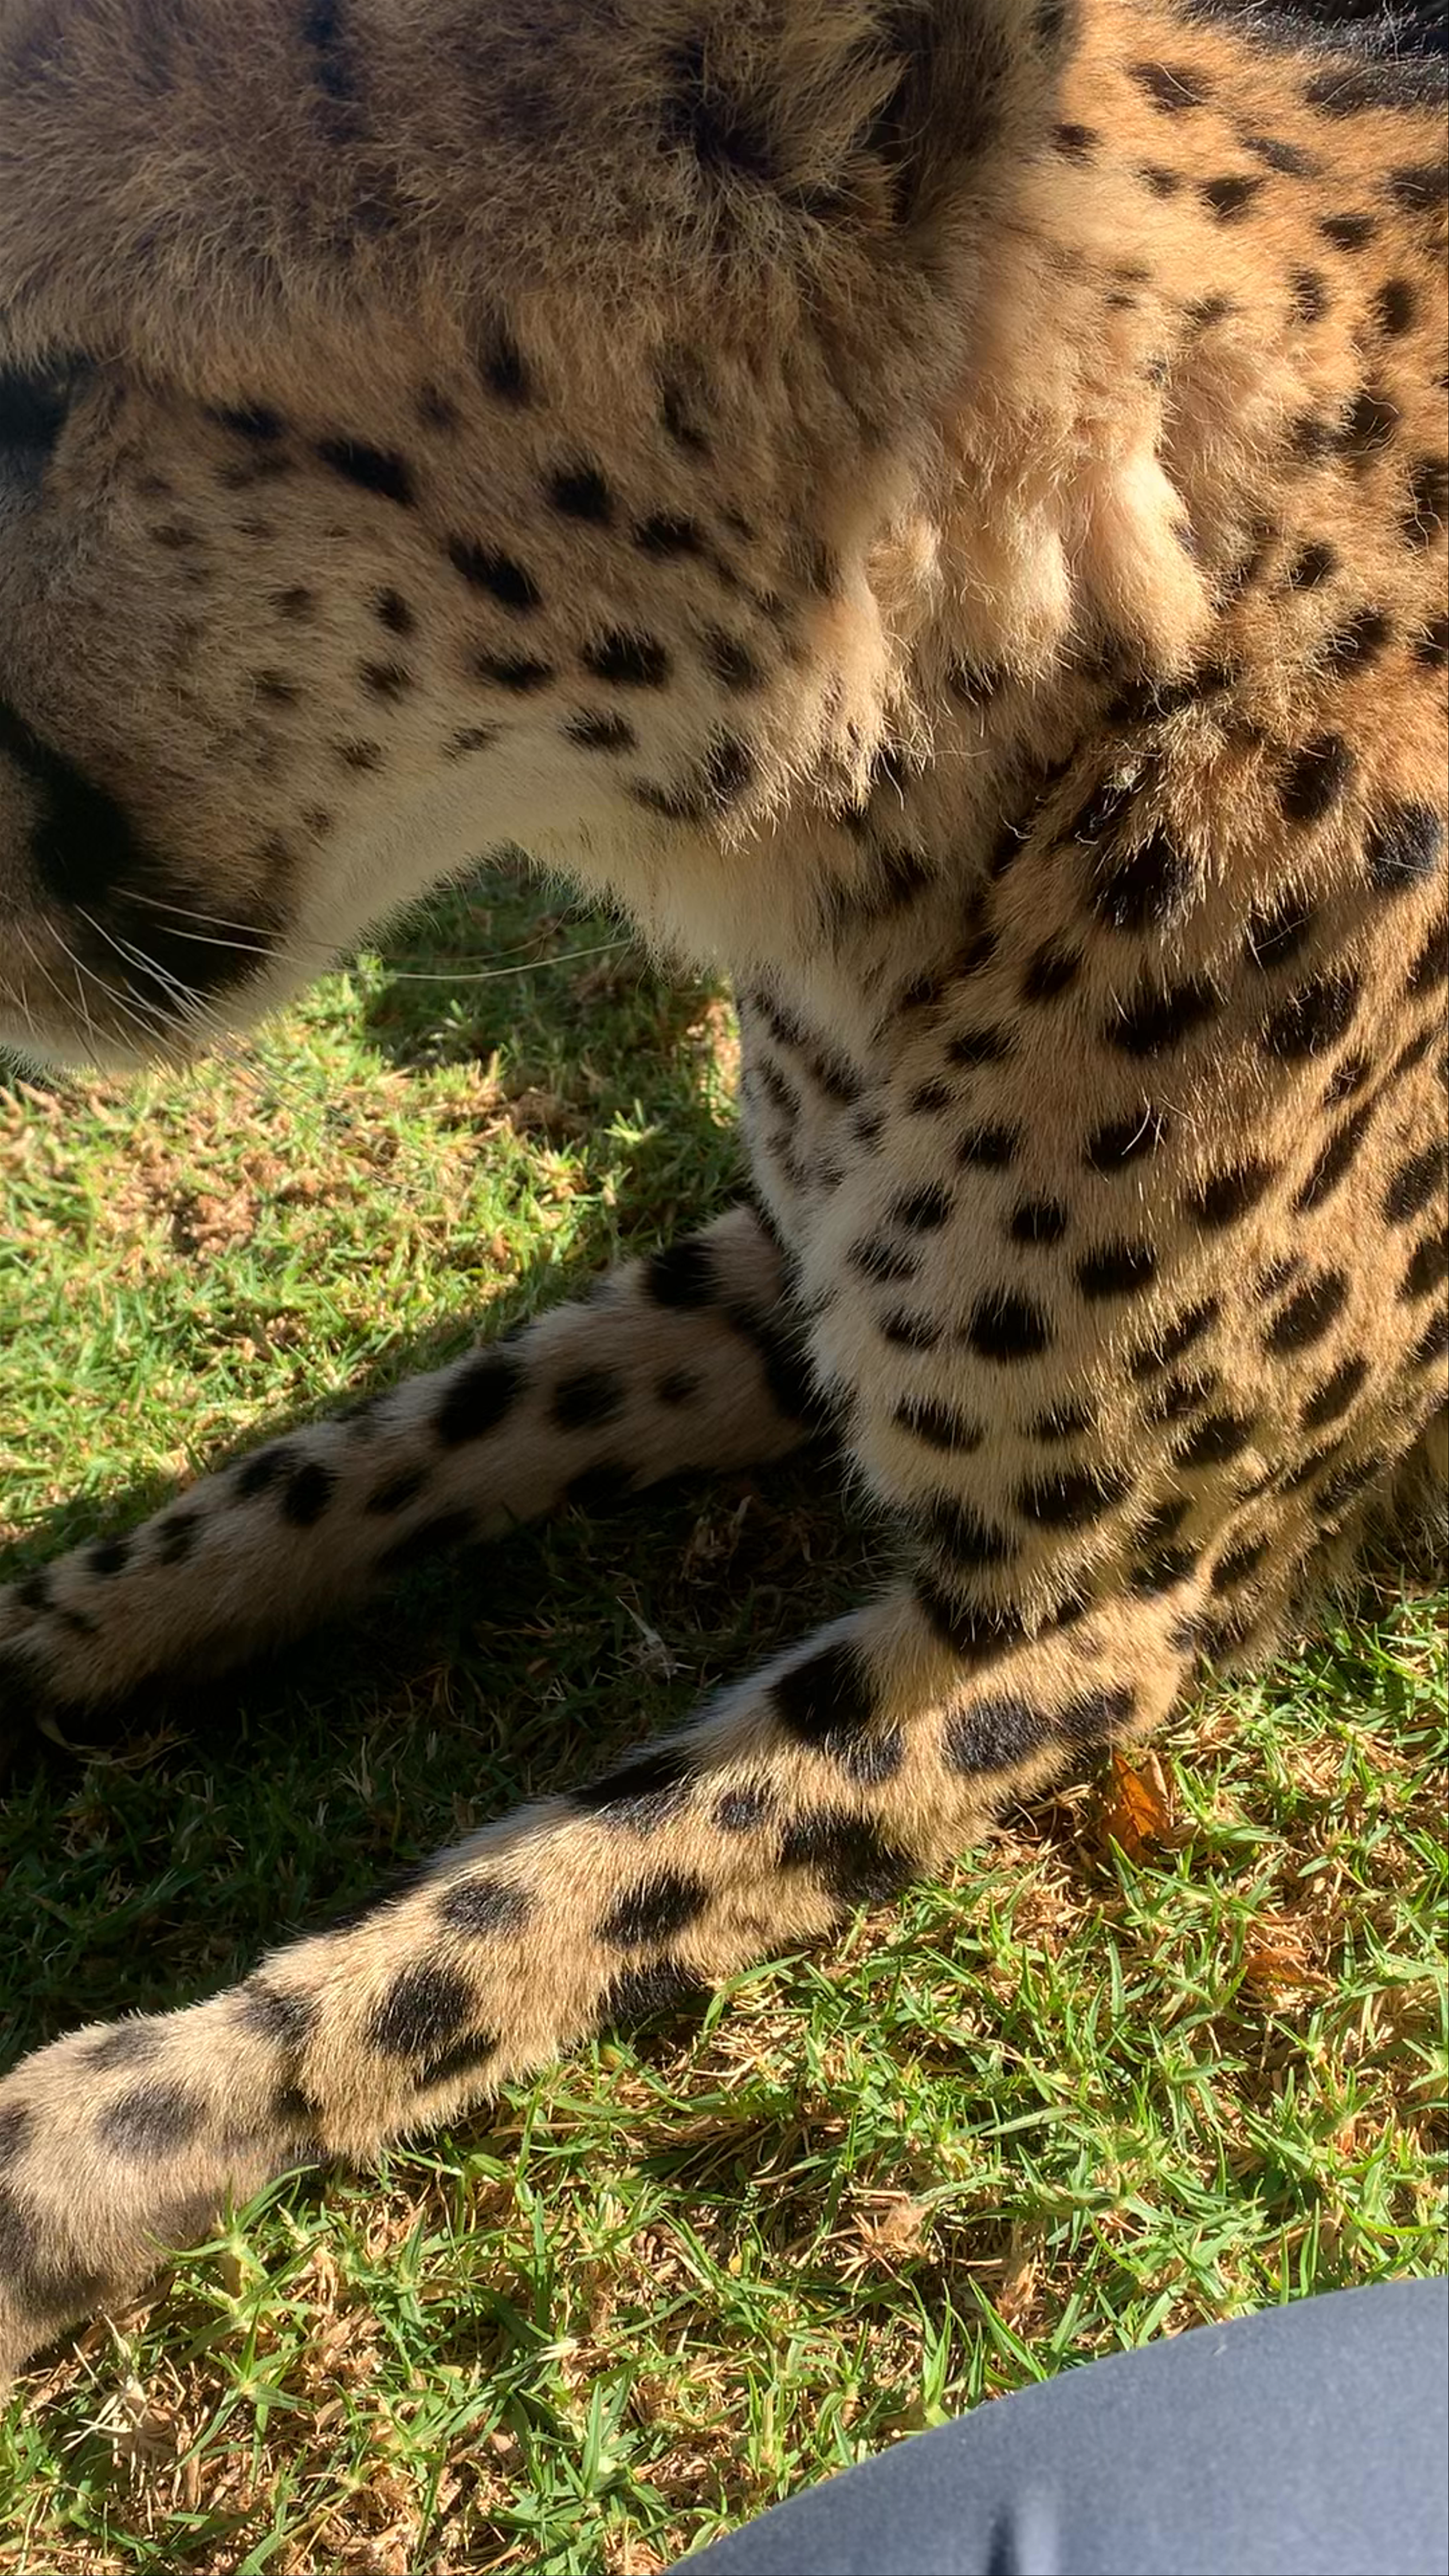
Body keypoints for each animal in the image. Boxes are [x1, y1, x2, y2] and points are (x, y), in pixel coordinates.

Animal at [0, 0, 1445, 2392]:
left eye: (33, 398)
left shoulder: (1111, 1591)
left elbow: (518, 1907)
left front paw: (77, 2143)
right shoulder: (785, 1261)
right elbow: (387, 1444)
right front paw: (51, 1631)